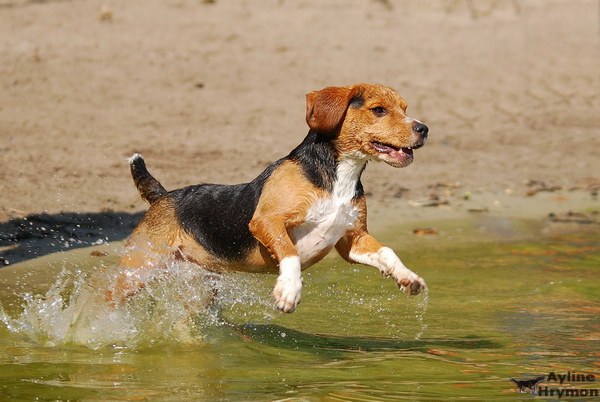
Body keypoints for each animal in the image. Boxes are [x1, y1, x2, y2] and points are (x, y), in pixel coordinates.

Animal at [108, 83, 426, 312]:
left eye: (404, 108)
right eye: (378, 110)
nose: (424, 129)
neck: (337, 175)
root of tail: (163, 196)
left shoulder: (353, 240)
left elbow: (387, 252)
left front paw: (407, 276)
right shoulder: (266, 221)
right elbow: (290, 252)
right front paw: (289, 290)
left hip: (198, 282)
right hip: (136, 271)